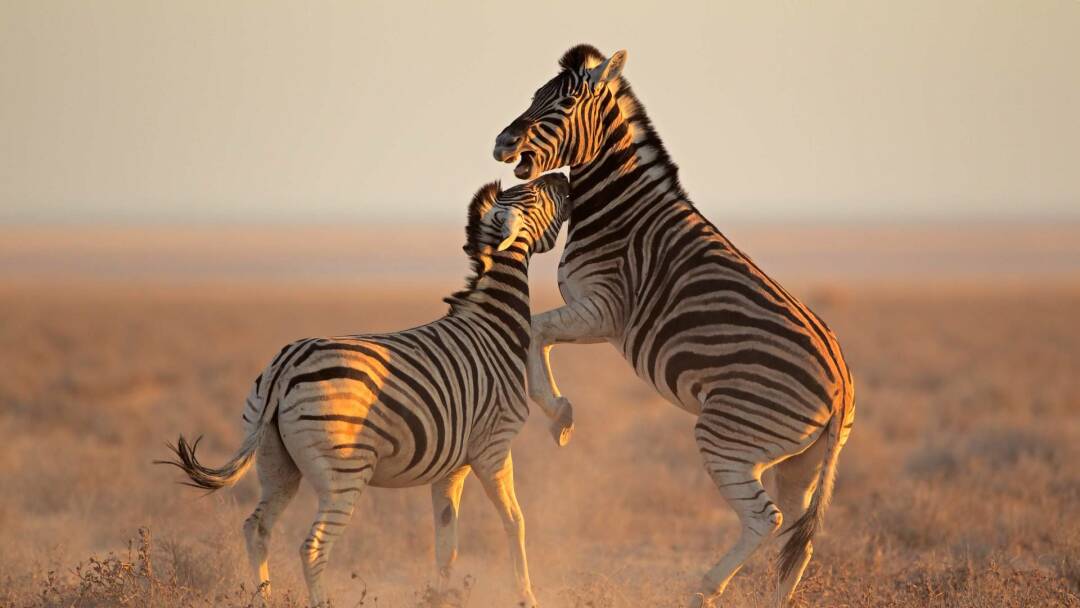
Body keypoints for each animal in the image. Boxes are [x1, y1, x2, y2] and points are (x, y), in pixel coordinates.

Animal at [158, 172, 570, 608]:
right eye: (534, 194)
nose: (563, 178)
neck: (494, 325)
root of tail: (284, 368)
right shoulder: (494, 446)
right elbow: (515, 521)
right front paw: (527, 596)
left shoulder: (452, 465)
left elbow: (446, 543)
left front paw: (441, 598)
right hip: (344, 473)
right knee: (312, 547)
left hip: (274, 462)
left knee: (257, 528)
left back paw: (263, 598)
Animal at [490, 45, 851, 604]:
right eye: (535, 96)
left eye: (564, 103)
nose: (502, 143)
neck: (619, 208)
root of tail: (842, 387)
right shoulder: (595, 313)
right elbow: (538, 333)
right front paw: (559, 414)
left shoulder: (604, 309)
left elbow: (535, 329)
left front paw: (559, 415)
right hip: (802, 462)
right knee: (796, 537)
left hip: (728, 436)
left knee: (764, 520)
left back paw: (705, 587)